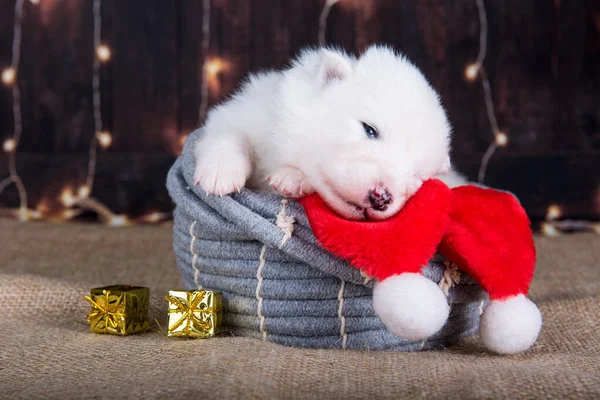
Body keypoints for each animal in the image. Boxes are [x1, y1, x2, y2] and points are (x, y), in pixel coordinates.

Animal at [195, 45, 466, 220]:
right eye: (370, 130)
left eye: (418, 176)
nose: (382, 197)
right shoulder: (249, 110)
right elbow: (229, 131)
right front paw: (221, 172)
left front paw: (292, 178)